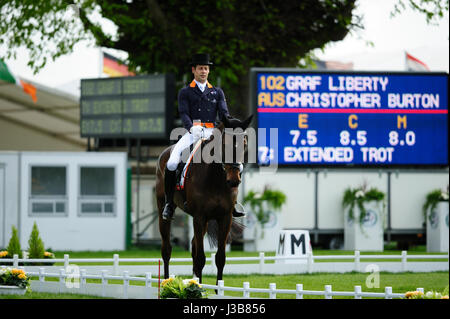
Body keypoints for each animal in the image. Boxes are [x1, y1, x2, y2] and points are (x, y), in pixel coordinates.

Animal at [156, 115, 253, 284]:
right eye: (224, 144)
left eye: (245, 143)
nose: (234, 180)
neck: (216, 179)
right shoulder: (200, 216)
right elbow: (201, 258)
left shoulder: (224, 218)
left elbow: (220, 258)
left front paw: (217, 287)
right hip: (164, 210)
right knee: (167, 249)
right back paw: (167, 282)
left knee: (193, 247)